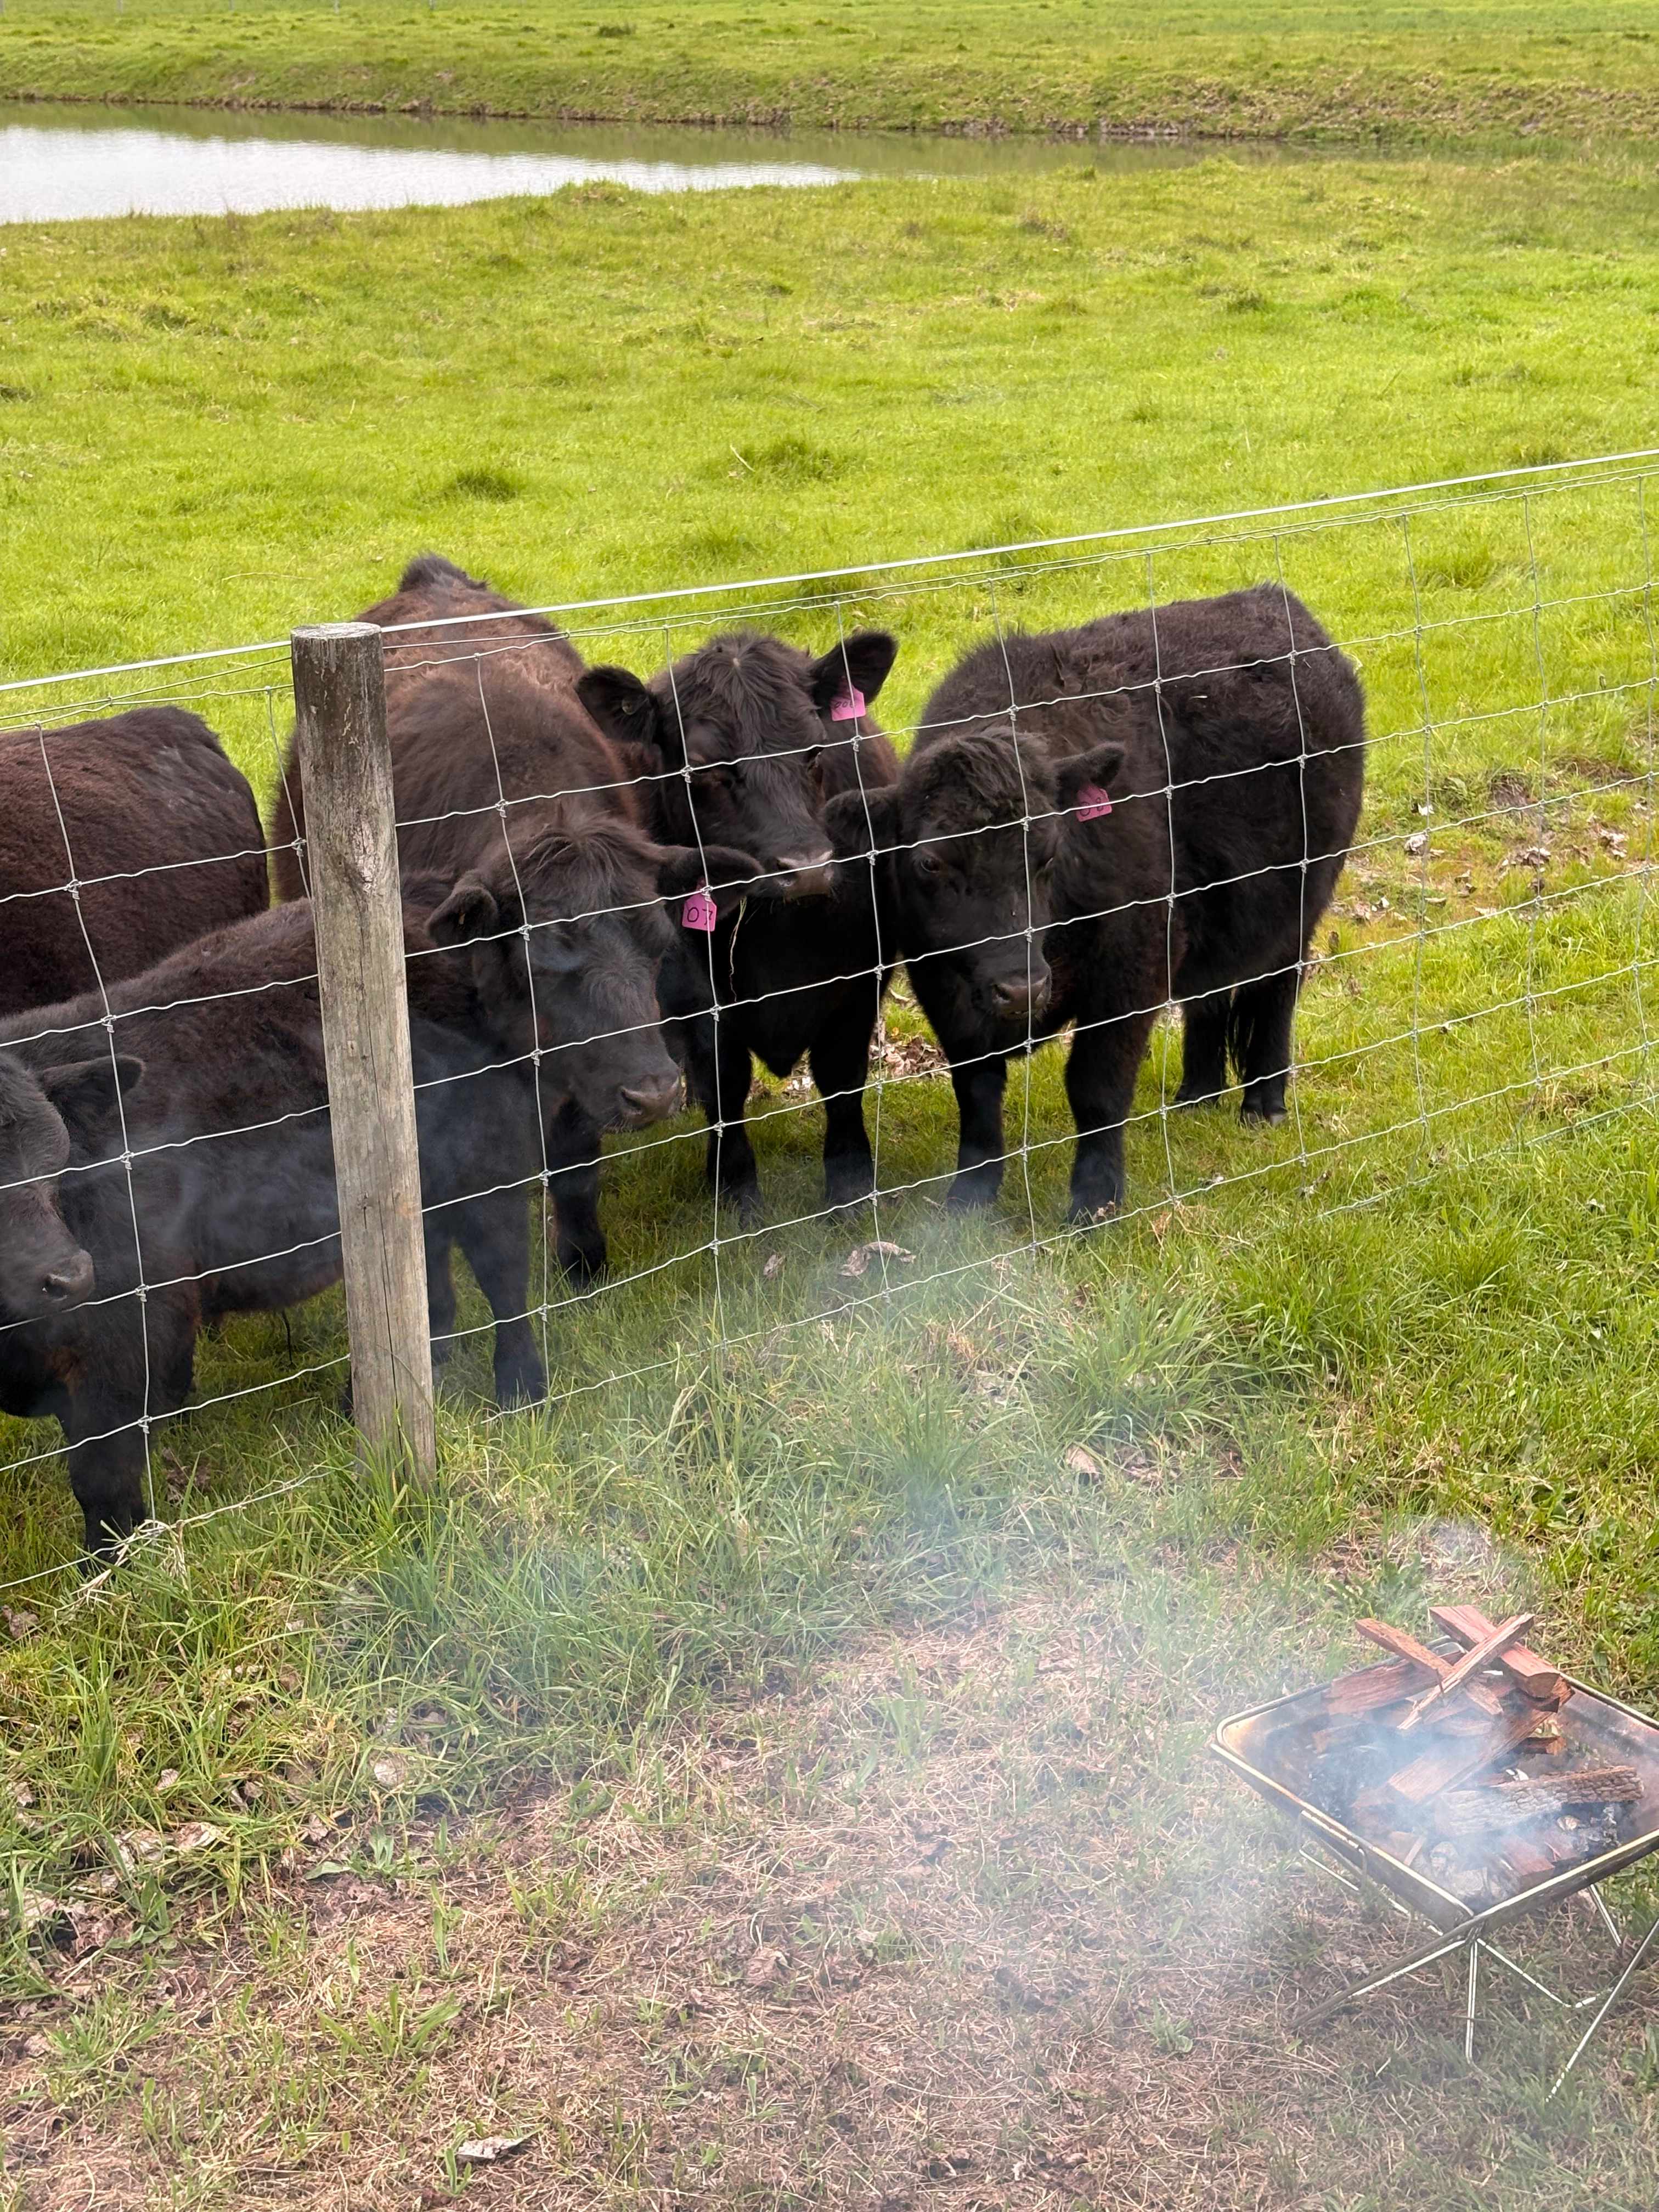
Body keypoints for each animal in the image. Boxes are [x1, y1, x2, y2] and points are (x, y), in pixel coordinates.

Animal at [0, 897, 551, 1556]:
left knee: (506, 1276)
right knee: (431, 1295)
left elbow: (100, 1474)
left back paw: (521, 1391)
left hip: (485, 1165)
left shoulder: (125, 1339)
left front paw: (111, 1561)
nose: (71, 1275)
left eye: (56, 1166)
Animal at [575, 627, 902, 1221]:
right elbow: (723, 1087)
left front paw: (850, 1186)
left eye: (814, 750)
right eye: (707, 768)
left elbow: (842, 1080)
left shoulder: (858, 983)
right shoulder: (696, 998)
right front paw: (735, 1188)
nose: (807, 867)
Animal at [824, 585, 1366, 1220]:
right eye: (930, 862)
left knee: (1276, 989)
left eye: (1049, 850)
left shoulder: (1132, 962)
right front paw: (970, 1197)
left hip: (1302, 899)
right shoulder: (943, 981)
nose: (1022, 988)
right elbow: (976, 1089)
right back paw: (1197, 1094)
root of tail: (1273, 601)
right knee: (1210, 996)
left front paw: (1095, 1200)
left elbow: (1096, 1086)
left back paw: (1264, 1102)